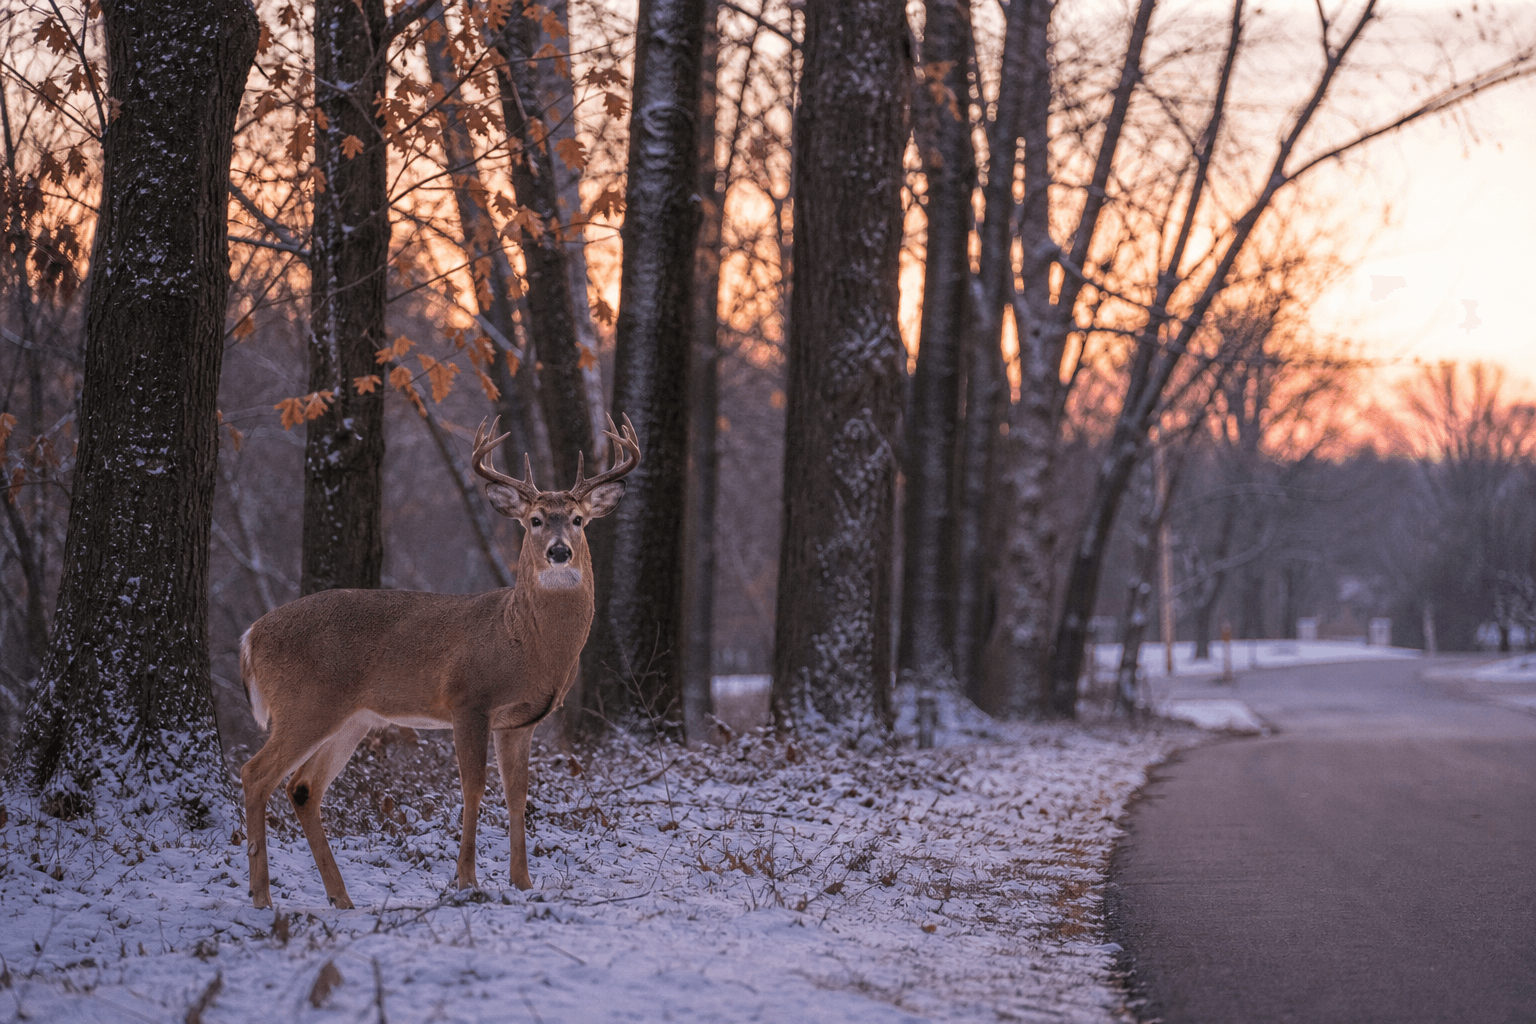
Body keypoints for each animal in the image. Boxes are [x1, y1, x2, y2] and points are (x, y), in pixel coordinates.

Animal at [238, 414, 640, 910]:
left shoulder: (520, 722)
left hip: (352, 717)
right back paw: (262, 897)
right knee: (255, 774)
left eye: (579, 519)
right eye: (535, 520)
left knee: (302, 788)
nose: (559, 551)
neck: (524, 642)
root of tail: (251, 636)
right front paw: (466, 879)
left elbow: (517, 794)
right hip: (304, 704)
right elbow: (473, 787)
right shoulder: (469, 701)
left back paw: (341, 899)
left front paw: (523, 882)